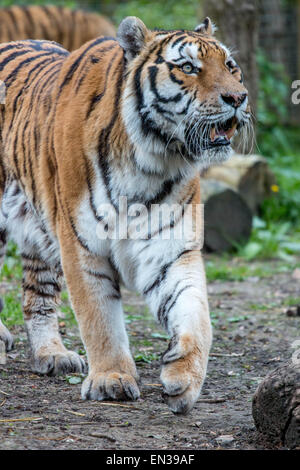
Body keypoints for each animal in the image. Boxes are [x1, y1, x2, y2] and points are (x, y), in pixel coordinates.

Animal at [0, 14, 250, 414]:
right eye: (187, 68)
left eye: (230, 66)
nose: (238, 98)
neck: (153, 160)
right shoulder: (81, 245)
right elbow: (99, 318)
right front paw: (111, 378)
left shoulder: (170, 249)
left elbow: (196, 313)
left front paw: (183, 374)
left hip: (38, 231)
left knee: (38, 295)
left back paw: (52, 355)